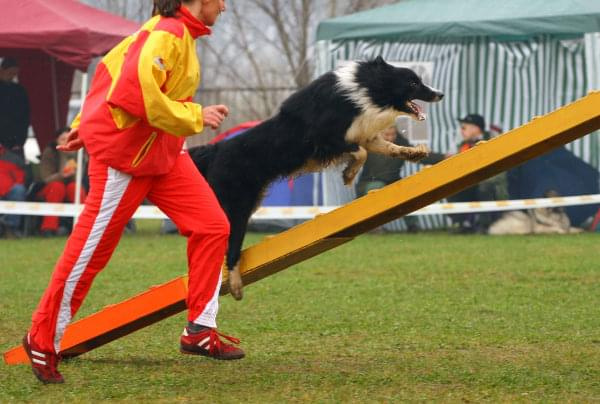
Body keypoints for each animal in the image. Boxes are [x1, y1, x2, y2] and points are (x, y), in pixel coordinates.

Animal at [190, 56, 442, 298]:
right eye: (413, 83)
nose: (440, 94)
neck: (366, 89)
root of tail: (214, 150)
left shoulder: (361, 132)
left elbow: (385, 147)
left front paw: (414, 153)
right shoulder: (324, 138)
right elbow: (360, 152)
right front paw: (348, 175)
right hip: (237, 207)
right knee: (230, 247)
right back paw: (235, 287)